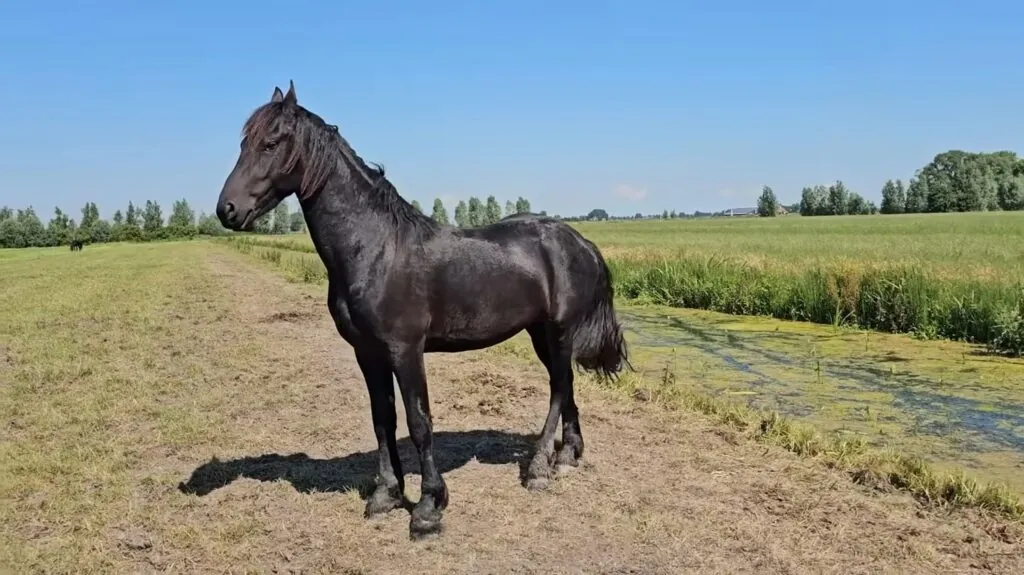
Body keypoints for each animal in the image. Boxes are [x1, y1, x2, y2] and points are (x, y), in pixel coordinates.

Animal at [215, 82, 626, 540]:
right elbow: (383, 419)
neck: (376, 248)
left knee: (558, 388)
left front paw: (429, 506)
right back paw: (567, 457)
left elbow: (419, 422)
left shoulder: (405, 350)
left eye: (270, 143)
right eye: (243, 144)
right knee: (566, 384)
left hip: (558, 331)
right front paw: (386, 494)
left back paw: (538, 468)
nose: (226, 209)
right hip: (540, 334)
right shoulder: (368, 353)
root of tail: (580, 241)